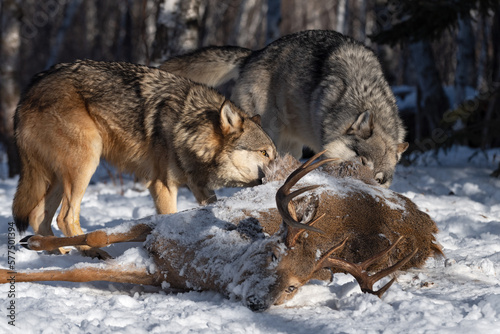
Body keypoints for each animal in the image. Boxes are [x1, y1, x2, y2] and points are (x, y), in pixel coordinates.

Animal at [1, 153, 444, 312]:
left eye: (295, 287)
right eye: (272, 255)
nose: (260, 304)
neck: (203, 258)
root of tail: (426, 224)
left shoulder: (159, 274)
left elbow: (78, 272)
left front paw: (11, 271)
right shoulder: (167, 222)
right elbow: (97, 236)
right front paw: (33, 243)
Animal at [12, 59, 278, 258]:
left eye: (274, 155)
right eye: (264, 153)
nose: (279, 176)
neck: (188, 127)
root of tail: (29, 90)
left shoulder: (199, 186)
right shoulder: (162, 185)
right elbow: (169, 219)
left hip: (61, 176)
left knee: (38, 215)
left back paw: (57, 253)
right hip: (85, 164)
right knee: (65, 217)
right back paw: (92, 252)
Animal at [162, 30, 408, 187]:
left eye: (378, 179)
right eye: (362, 161)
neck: (365, 95)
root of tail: (254, 54)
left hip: (293, 147)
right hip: (271, 137)